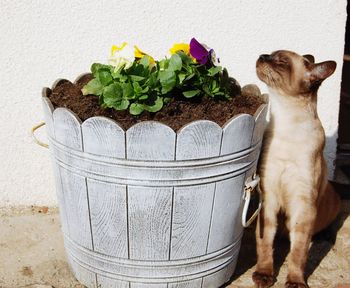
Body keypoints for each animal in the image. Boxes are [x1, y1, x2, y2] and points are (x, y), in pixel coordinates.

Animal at [253, 50, 340, 286]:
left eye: (281, 61)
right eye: (270, 54)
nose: (262, 56)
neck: (286, 124)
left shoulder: (303, 204)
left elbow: (298, 252)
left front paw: (295, 281)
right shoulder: (269, 196)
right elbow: (265, 243)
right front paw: (264, 275)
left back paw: (326, 237)